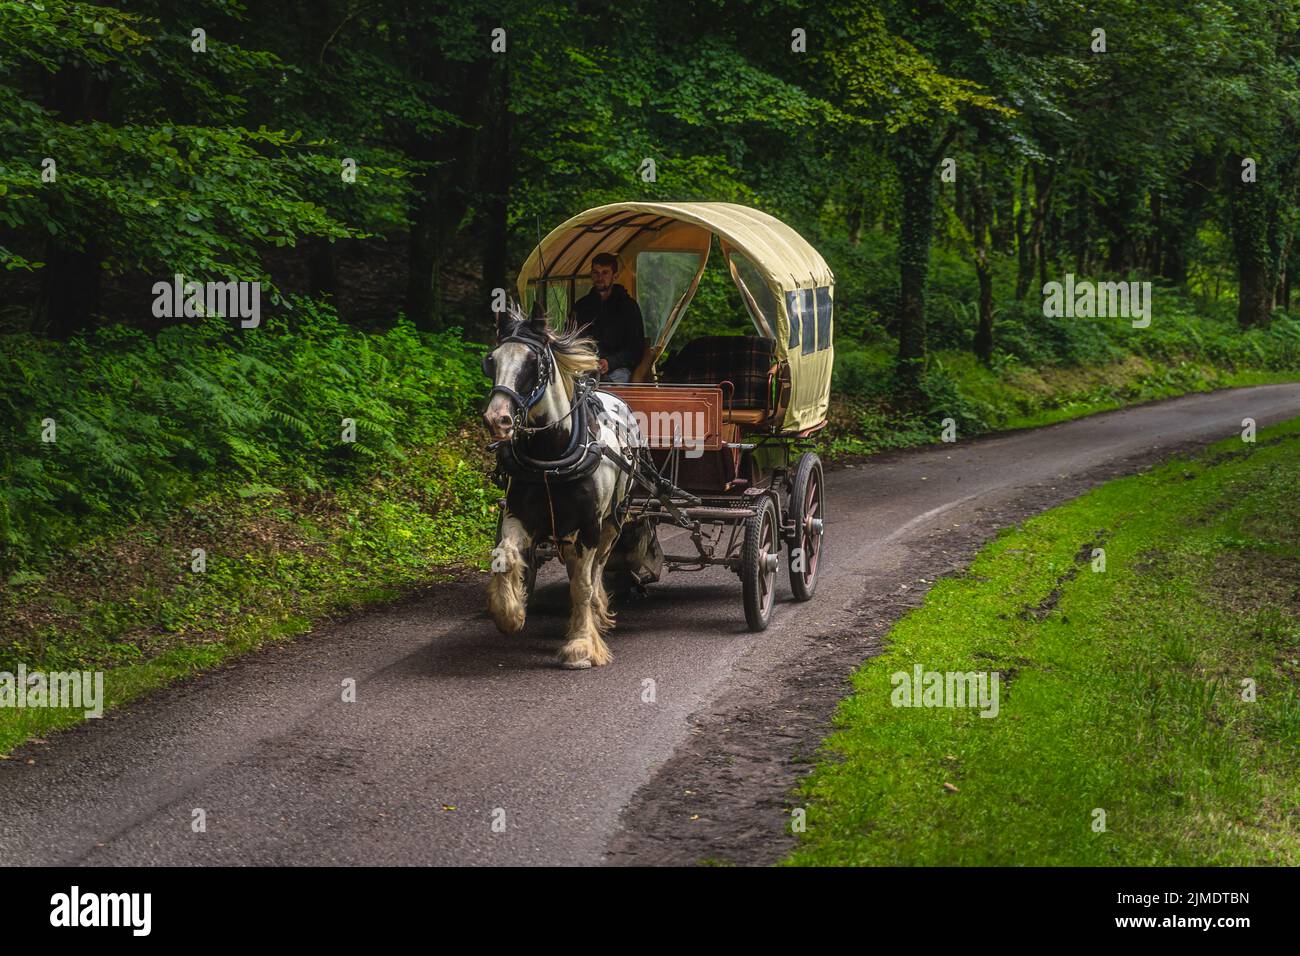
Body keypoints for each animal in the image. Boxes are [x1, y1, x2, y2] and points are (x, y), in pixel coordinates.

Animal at [480, 303, 642, 671]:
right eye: (491, 360)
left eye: (532, 362)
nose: (498, 419)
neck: (551, 457)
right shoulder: (517, 516)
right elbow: (504, 556)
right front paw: (509, 613)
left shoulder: (589, 526)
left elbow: (582, 584)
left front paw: (581, 645)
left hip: (613, 520)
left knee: (596, 569)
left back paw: (597, 611)